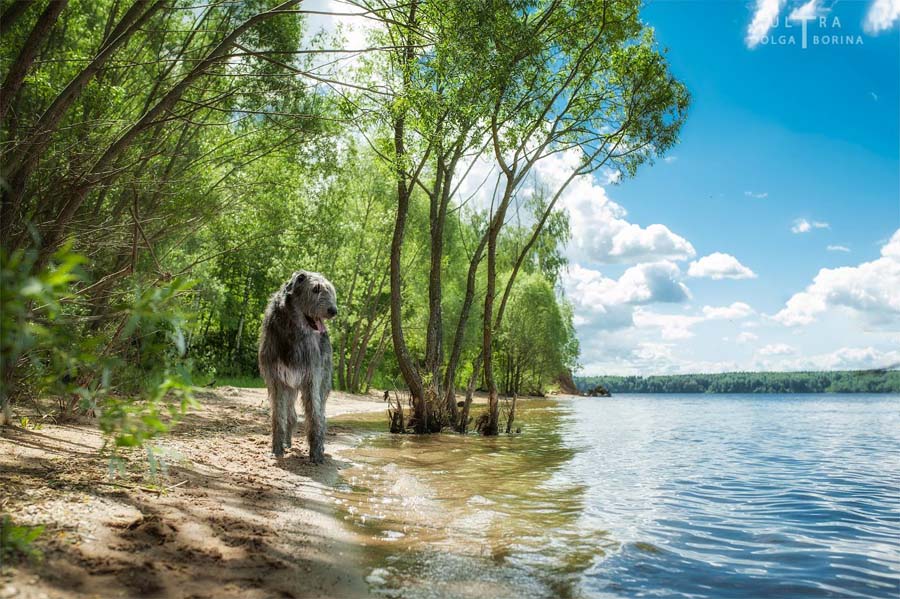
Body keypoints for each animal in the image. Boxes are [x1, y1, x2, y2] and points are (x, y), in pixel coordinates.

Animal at [258, 270, 340, 462]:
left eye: (329, 290)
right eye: (315, 289)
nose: (333, 311)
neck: (293, 331)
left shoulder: (311, 378)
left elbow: (315, 416)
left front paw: (316, 454)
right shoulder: (277, 381)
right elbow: (278, 416)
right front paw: (277, 449)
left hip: (323, 380)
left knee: (321, 413)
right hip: (289, 387)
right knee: (291, 415)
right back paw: (287, 442)